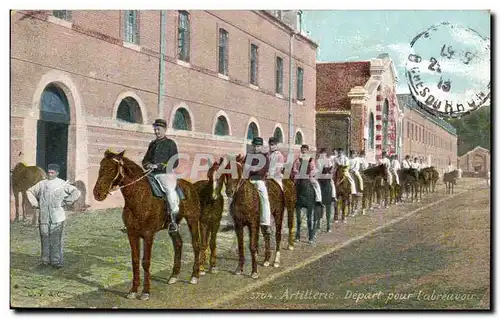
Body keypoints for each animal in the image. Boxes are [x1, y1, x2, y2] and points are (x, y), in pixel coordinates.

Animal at [93, 151, 202, 302]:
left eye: (110, 169)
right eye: (100, 167)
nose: (97, 194)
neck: (139, 197)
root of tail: (190, 186)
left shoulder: (148, 234)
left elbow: (146, 262)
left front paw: (145, 292)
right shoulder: (132, 234)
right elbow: (135, 261)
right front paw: (133, 291)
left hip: (192, 220)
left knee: (196, 245)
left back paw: (194, 276)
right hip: (173, 226)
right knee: (178, 244)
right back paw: (174, 276)